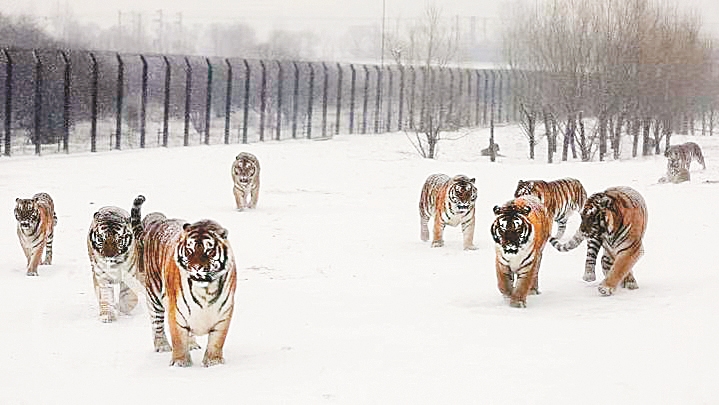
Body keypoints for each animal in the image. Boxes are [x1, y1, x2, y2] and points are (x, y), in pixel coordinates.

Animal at [139, 202, 242, 366]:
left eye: (209, 250)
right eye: (189, 250)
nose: (196, 268)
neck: (206, 290)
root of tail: (159, 222)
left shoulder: (223, 315)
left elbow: (216, 341)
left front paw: (214, 363)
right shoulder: (176, 312)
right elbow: (179, 341)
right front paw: (180, 363)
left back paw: (193, 344)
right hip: (154, 293)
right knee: (157, 323)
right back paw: (162, 346)